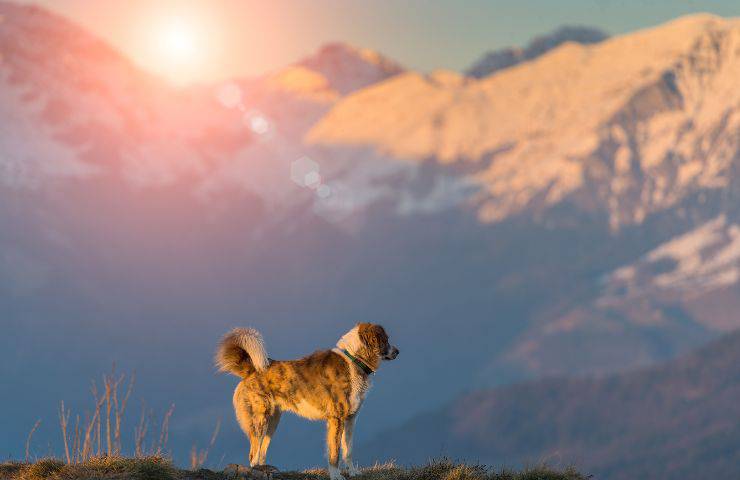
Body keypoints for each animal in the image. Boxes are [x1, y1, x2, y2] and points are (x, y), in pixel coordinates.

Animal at [214, 324, 398, 478]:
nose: (398, 351)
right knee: (253, 454)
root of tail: (252, 369)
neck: (354, 360)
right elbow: (334, 453)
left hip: (272, 422)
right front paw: (336, 476)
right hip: (260, 420)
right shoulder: (336, 419)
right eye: (385, 339)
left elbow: (348, 450)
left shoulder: (351, 419)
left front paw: (352, 472)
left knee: (261, 453)